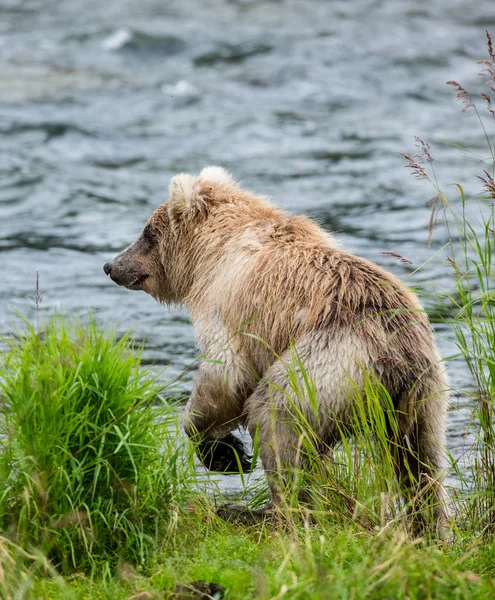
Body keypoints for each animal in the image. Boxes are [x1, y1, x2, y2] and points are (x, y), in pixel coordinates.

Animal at [103, 166, 450, 532]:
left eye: (147, 232)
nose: (111, 265)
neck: (209, 255)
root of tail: (397, 352)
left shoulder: (228, 306)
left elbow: (225, 374)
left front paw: (226, 453)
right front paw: (229, 451)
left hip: (331, 360)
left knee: (277, 416)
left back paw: (265, 512)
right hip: (425, 393)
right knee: (420, 461)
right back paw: (429, 526)